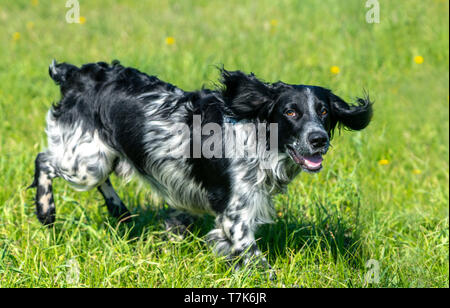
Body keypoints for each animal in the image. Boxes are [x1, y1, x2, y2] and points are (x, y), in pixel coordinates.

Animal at [30, 60, 372, 274]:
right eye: (291, 112)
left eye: (324, 111)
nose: (319, 139)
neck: (256, 135)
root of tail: (76, 75)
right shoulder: (235, 217)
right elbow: (256, 261)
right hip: (87, 162)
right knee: (44, 159)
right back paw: (47, 212)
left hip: (101, 156)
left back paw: (120, 210)